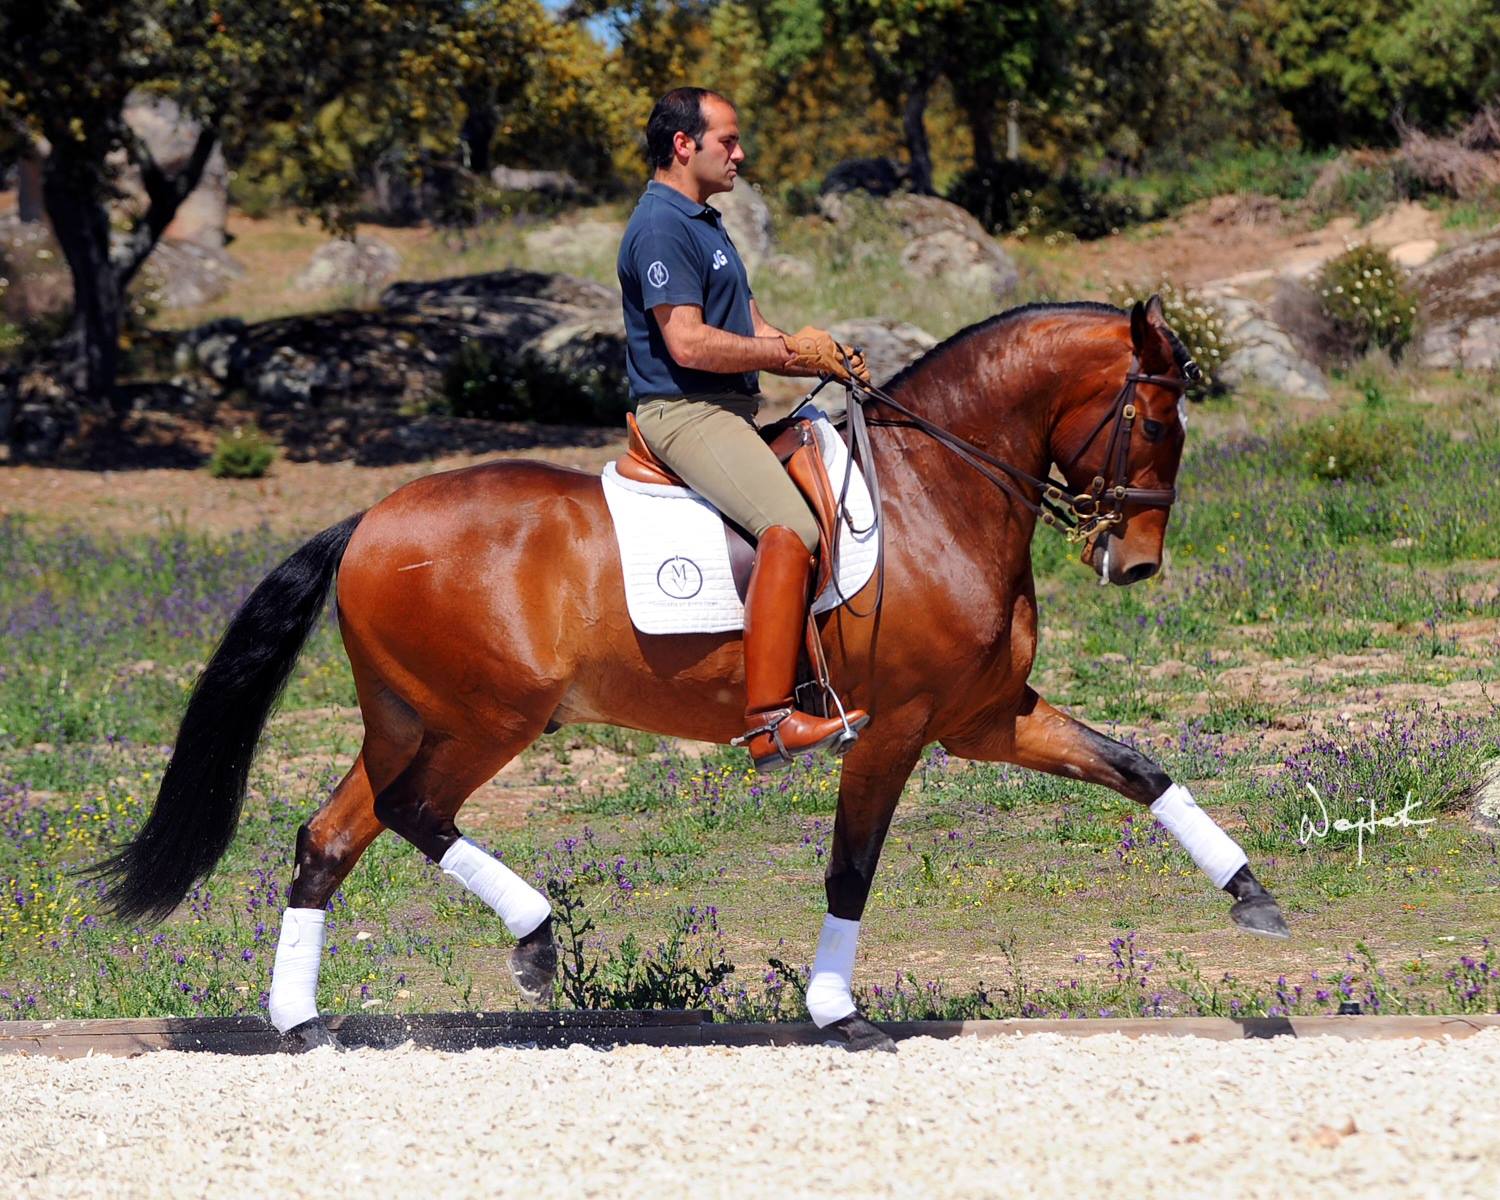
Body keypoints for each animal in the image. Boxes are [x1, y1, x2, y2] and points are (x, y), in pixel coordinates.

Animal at [91, 296, 1290, 1052]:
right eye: (1158, 416)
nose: (1135, 563)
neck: (936, 491)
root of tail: (368, 521)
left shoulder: (984, 716)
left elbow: (1137, 767)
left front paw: (1254, 896)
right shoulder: (895, 727)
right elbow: (851, 871)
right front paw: (837, 1013)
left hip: (406, 715)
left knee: (333, 837)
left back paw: (303, 1023)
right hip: (487, 717)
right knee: (411, 811)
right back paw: (534, 941)